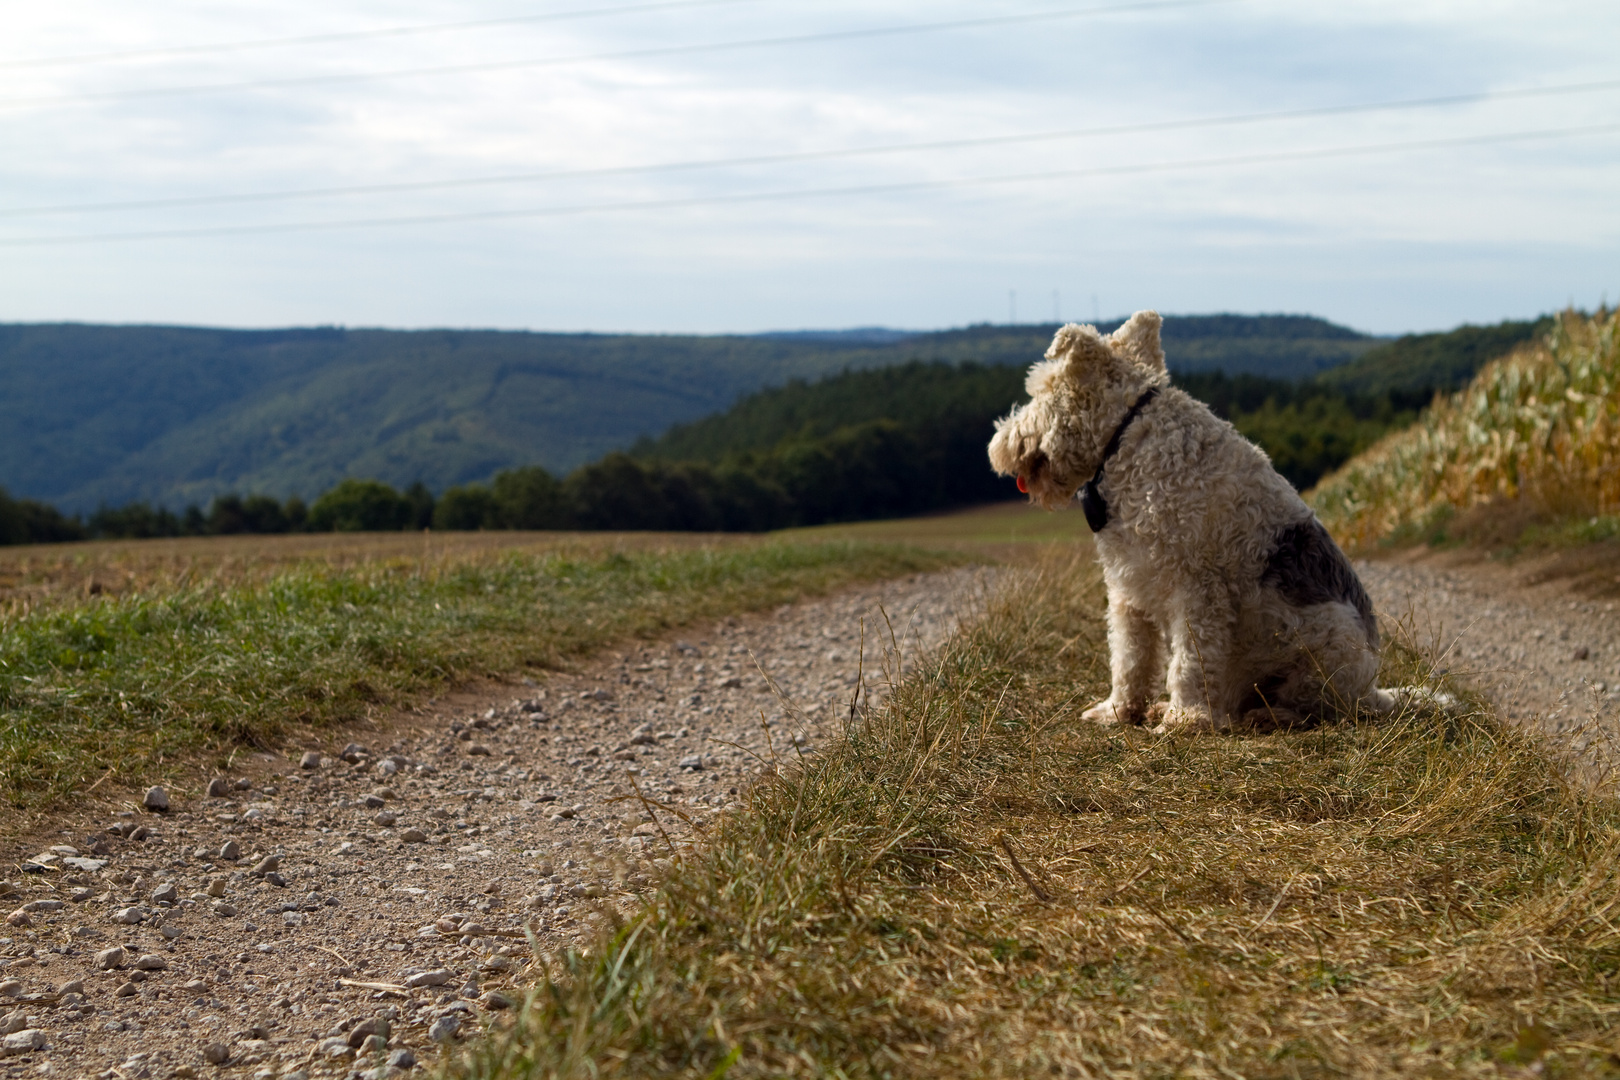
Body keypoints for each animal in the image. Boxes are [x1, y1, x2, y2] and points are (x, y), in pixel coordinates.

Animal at [984, 312, 1406, 735]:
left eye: (1040, 389)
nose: (998, 443)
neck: (1130, 436)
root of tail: (1376, 692)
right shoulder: (1126, 586)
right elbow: (1130, 657)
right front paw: (1118, 711)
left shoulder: (1196, 588)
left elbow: (1189, 659)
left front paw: (1184, 720)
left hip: (1326, 648)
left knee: (1321, 706)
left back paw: (1268, 716)